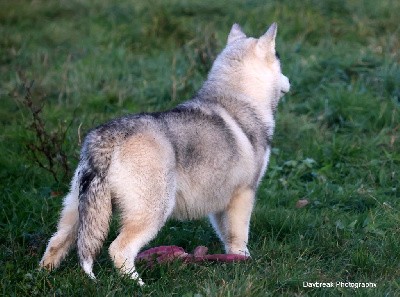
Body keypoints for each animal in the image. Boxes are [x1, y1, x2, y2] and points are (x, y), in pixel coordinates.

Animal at [39, 22, 290, 282]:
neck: (239, 99)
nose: (289, 80)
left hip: (78, 213)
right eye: (279, 58)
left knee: (56, 242)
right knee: (118, 249)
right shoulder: (244, 194)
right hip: (153, 211)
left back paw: (42, 276)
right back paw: (138, 284)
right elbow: (240, 239)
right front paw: (244, 263)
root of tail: (106, 136)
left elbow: (226, 236)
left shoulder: (220, 201)